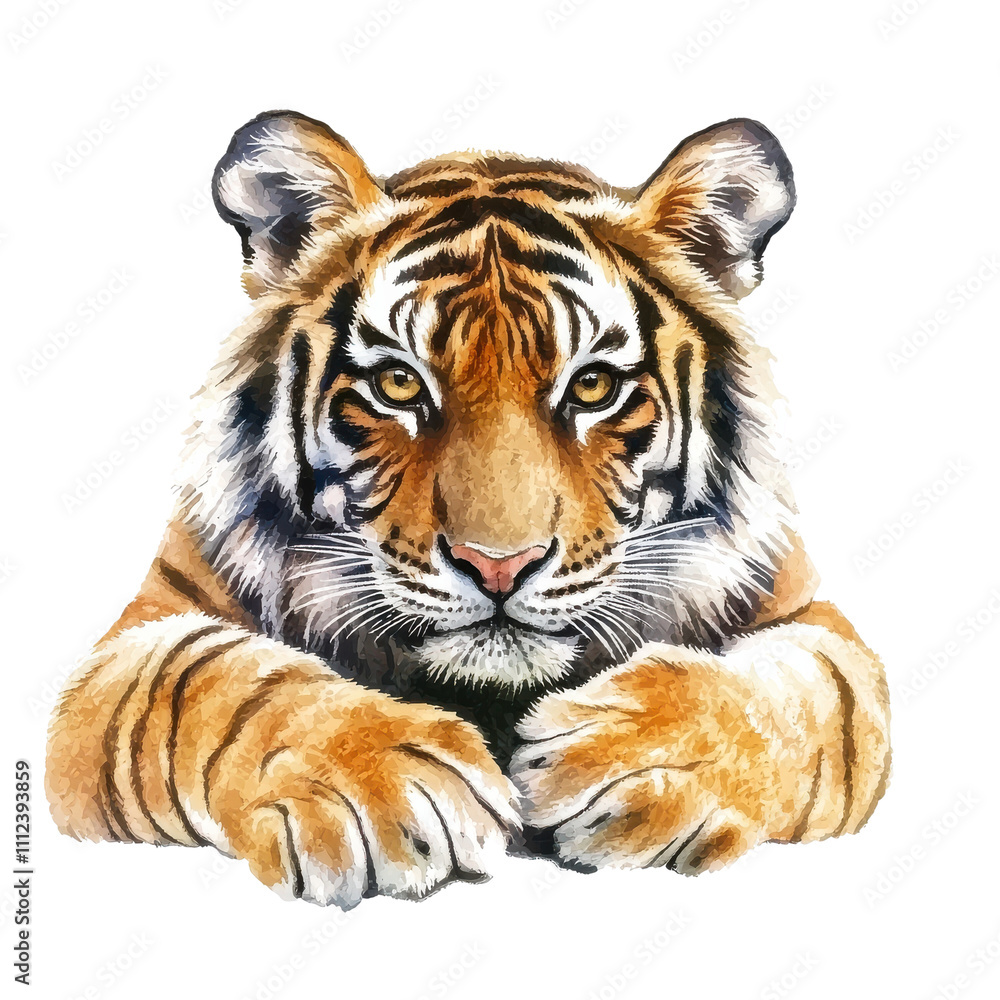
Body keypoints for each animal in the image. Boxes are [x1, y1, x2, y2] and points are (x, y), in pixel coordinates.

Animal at [46, 111, 890, 907]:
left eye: (592, 387)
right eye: (397, 384)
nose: (498, 565)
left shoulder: (813, 622)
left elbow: (791, 702)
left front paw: (635, 764)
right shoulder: (138, 637)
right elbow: (211, 681)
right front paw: (382, 785)